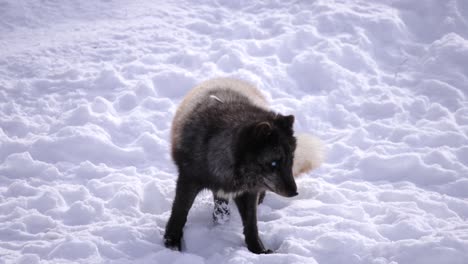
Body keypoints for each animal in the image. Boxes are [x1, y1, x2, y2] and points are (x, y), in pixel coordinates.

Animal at [164, 78, 322, 254]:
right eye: (274, 163)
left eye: (291, 160)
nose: (295, 192)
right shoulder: (188, 179)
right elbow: (180, 212)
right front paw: (171, 243)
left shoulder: (249, 192)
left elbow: (251, 224)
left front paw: (258, 250)